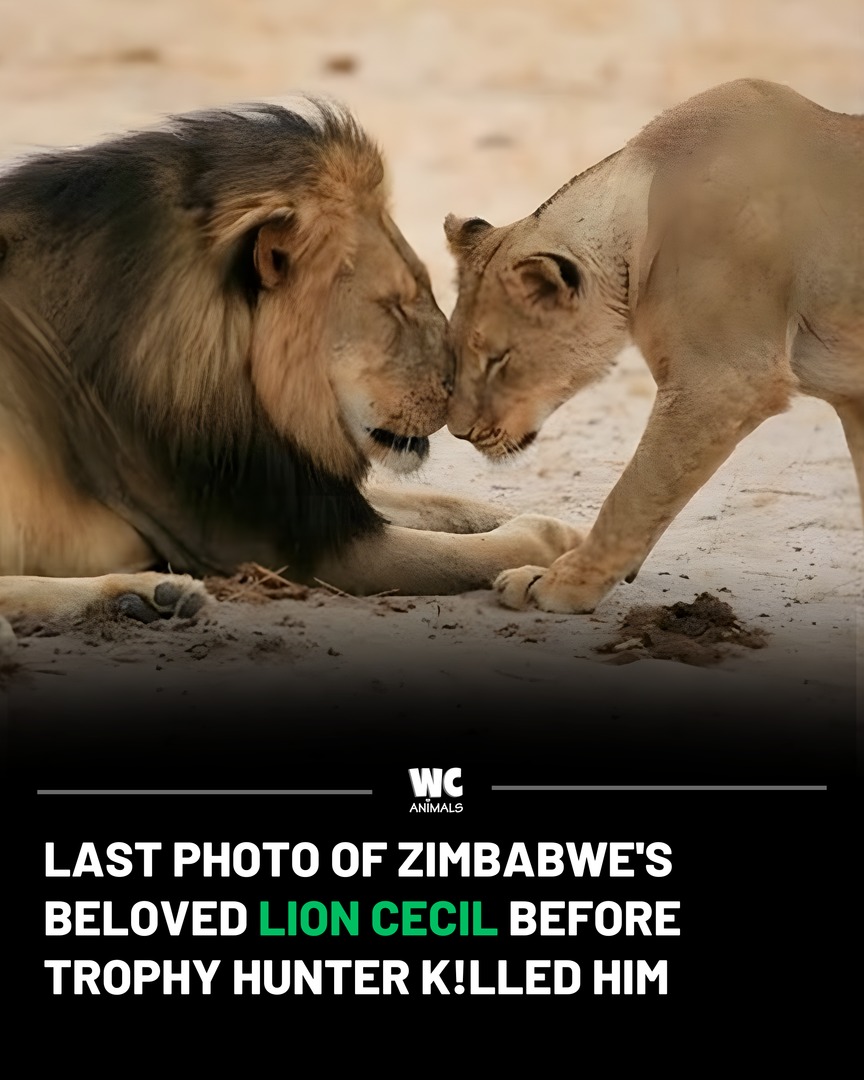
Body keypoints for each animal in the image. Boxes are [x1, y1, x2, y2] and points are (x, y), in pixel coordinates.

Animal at [0, 97, 580, 632]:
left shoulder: (293, 484)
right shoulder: (280, 545)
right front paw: (551, 537)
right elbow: (476, 551)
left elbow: (439, 502)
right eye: (392, 306)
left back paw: (150, 598)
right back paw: (144, 594)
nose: (465, 392)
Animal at [444, 78, 864, 614]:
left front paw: (559, 584)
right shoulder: (853, 399)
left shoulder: (725, 381)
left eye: (499, 360)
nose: (458, 434)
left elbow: (636, 490)